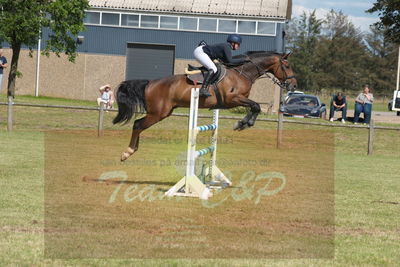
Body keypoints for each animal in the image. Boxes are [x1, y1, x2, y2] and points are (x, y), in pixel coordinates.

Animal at [112, 51, 296, 162]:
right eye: (287, 66)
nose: (293, 85)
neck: (241, 72)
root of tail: (150, 83)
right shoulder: (232, 99)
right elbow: (256, 106)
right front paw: (242, 124)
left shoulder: (239, 100)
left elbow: (254, 107)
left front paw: (244, 123)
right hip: (158, 113)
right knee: (138, 124)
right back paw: (127, 152)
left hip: (164, 112)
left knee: (139, 125)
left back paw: (132, 150)